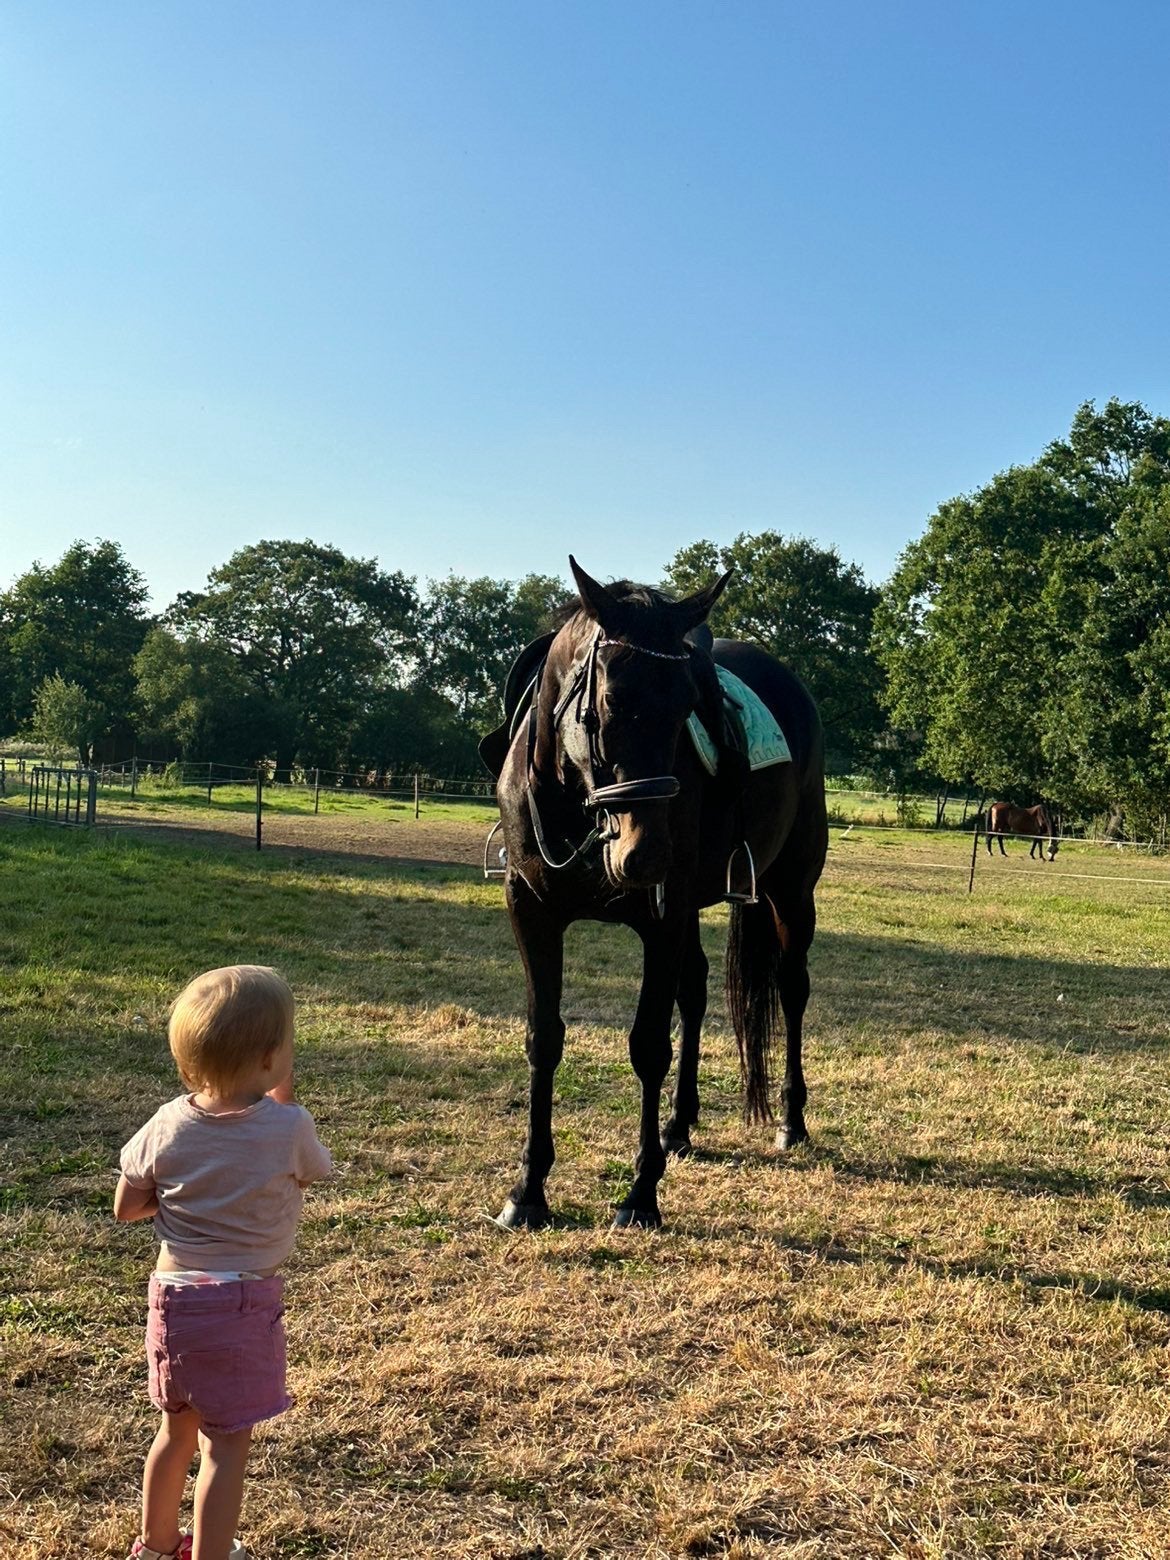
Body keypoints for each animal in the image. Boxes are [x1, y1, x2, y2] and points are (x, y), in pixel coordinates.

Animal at [482, 557, 828, 1230]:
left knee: (791, 988)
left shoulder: (660, 922)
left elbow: (647, 1046)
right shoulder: (532, 911)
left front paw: (641, 1195)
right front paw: (528, 1190)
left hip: (789, 894)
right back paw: (679, 1125)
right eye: (611, 700)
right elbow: (543, 1038)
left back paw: (791, 1120)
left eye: (687, 705)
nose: (647, 854)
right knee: (694, 994)